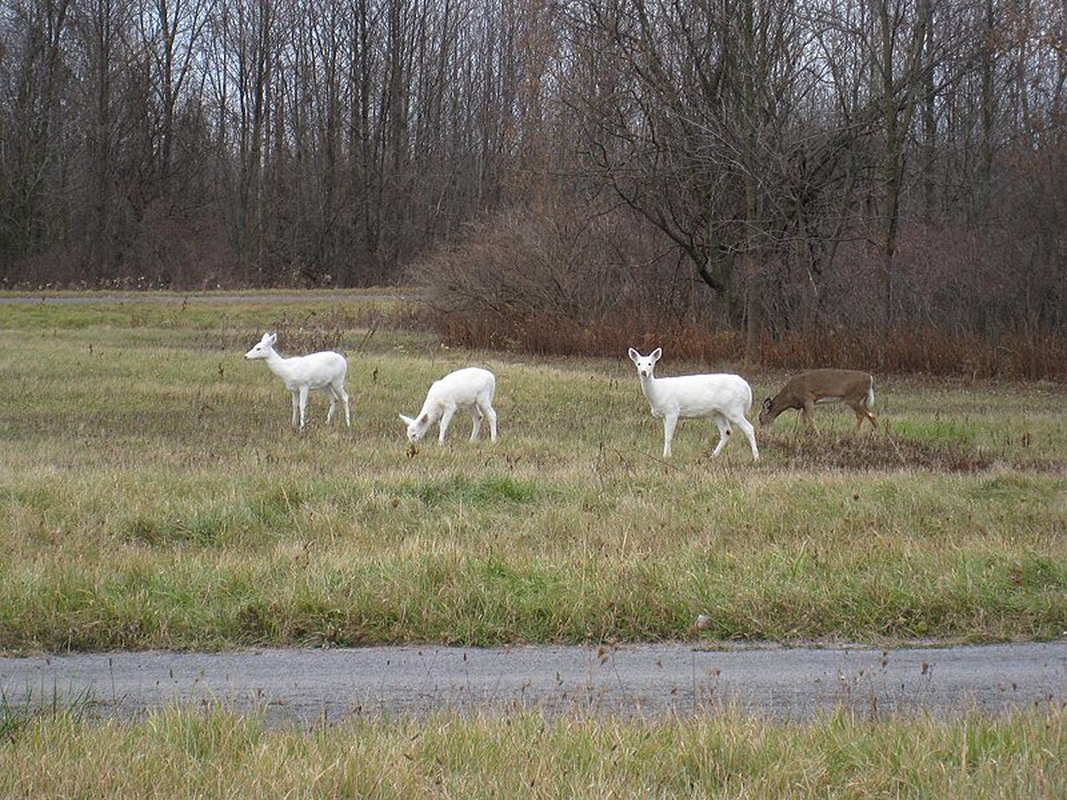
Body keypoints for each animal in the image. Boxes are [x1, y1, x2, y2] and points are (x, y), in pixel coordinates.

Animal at [623, 347, 759, 460]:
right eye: (638, 363)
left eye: (650, 363)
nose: (644, 372)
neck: (657, 392)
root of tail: (747, 388)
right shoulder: (664, 415)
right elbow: (666, 435)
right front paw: (668, 455)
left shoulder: (672, 410)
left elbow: (669, 436)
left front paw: (666, 457)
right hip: (718, 412)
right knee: (726, 432)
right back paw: (713, 456)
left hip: (734, 408)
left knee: (749, 428)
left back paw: (756, 458)